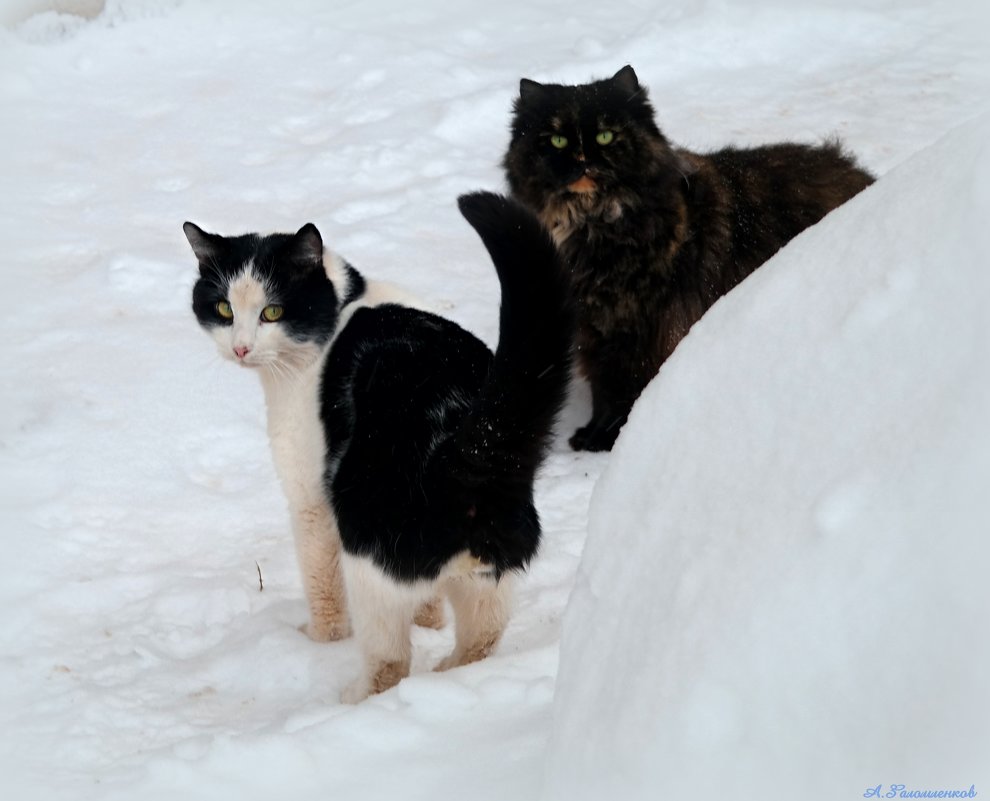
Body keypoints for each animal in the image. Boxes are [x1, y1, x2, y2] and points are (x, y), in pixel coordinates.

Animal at [186, 194, 572, 700]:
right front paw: (428, 621)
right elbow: (428, 605)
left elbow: (322, 584)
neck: (342, 305)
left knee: (390, 660)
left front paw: (321, 640)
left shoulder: (310, 499)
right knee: (482, 639)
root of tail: (475, 443)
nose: (241, 348)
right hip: (492, 571)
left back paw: (354, 699)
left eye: (272, 313)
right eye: (223, 309)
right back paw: (450, 673)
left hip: (368, 552)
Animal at [508, 64, 872, 450]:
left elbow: (621, 392)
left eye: (606, 136)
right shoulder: (596, 329)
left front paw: (609, 441)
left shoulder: (639, 330)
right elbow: (602, 391)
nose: (582, 160)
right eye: (557, 141)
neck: (594, 224)